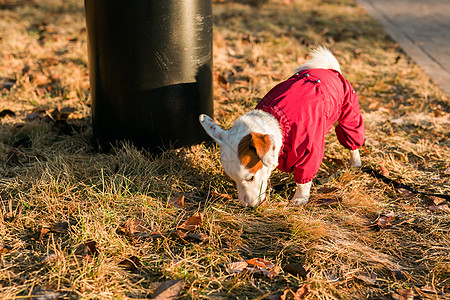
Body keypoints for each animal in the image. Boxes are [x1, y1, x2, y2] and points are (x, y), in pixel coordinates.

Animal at [200, 47, 366, 206]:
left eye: (250, 178)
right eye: (231, 180)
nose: (247, 206)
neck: (278, 121)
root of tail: (329, 69)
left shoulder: (309, 151)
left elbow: (303, 179)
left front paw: (300, 198)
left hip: (348, 116)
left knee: (352, 142)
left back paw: (355, 162)